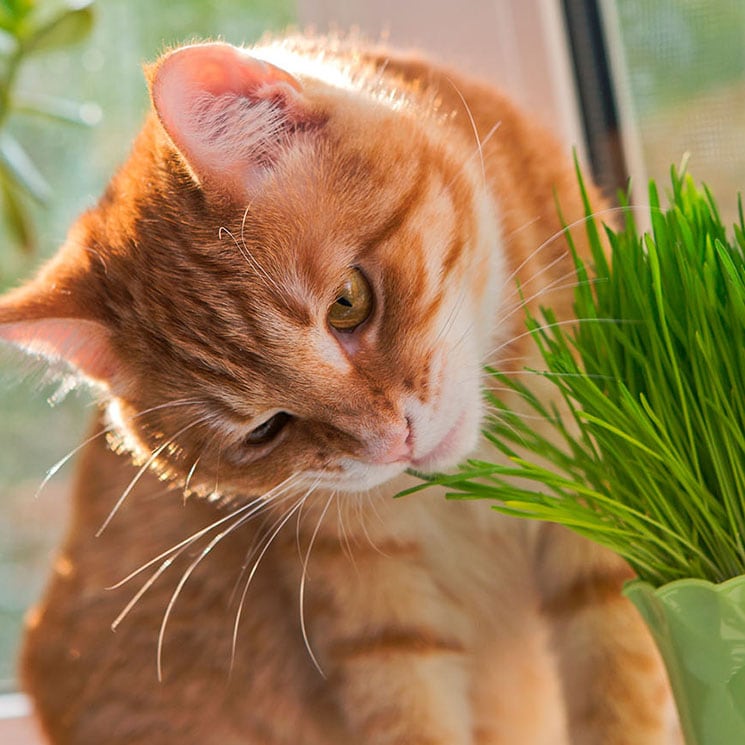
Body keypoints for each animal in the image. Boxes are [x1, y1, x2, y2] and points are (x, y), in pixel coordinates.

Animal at [0, 36, 676, 744]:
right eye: (266, 429)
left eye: (348, 304)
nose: (395, 442)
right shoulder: (377, 618)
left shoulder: (612, 515)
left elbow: (623, 690)